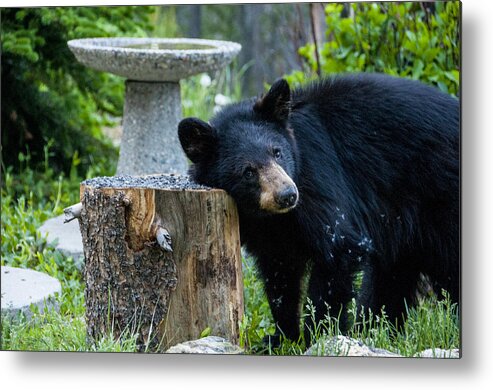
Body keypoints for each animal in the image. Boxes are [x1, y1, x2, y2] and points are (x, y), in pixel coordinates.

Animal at [179, 72, 460, 342]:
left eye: (277, 152)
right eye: (248, 171)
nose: (287, 195)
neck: (269, 216)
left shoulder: (317, 175)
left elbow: (338, 247)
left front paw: (318, 333)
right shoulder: (266, 230)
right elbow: (280, 274)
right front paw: (281, 337)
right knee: (391, 278)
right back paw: (377, 330)